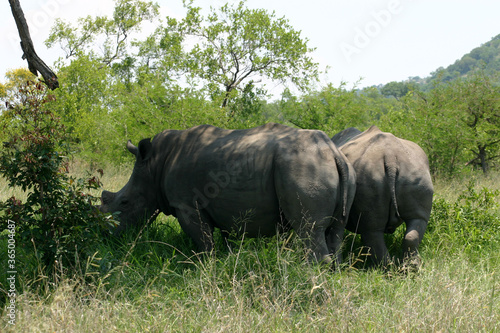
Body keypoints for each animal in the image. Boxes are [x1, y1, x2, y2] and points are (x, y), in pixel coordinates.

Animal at [99, 122, 356, 264]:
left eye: (124, 202)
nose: (108, 237)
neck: (153, 165)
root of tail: (332, 151)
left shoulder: (187, 205)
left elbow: (204, 243)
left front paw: (204, 268)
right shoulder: (224, 209)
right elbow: (226, 241)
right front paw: (228, 262)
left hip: (302, 167)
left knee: (308, 230)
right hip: (344, 170)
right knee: (335, 232)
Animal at [332, 124, 434, 264]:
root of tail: (391, 157)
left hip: (371, 176)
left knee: (371, 231)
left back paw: (383, 267)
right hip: (416, 173)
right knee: (418, 220)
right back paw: (410, 267)